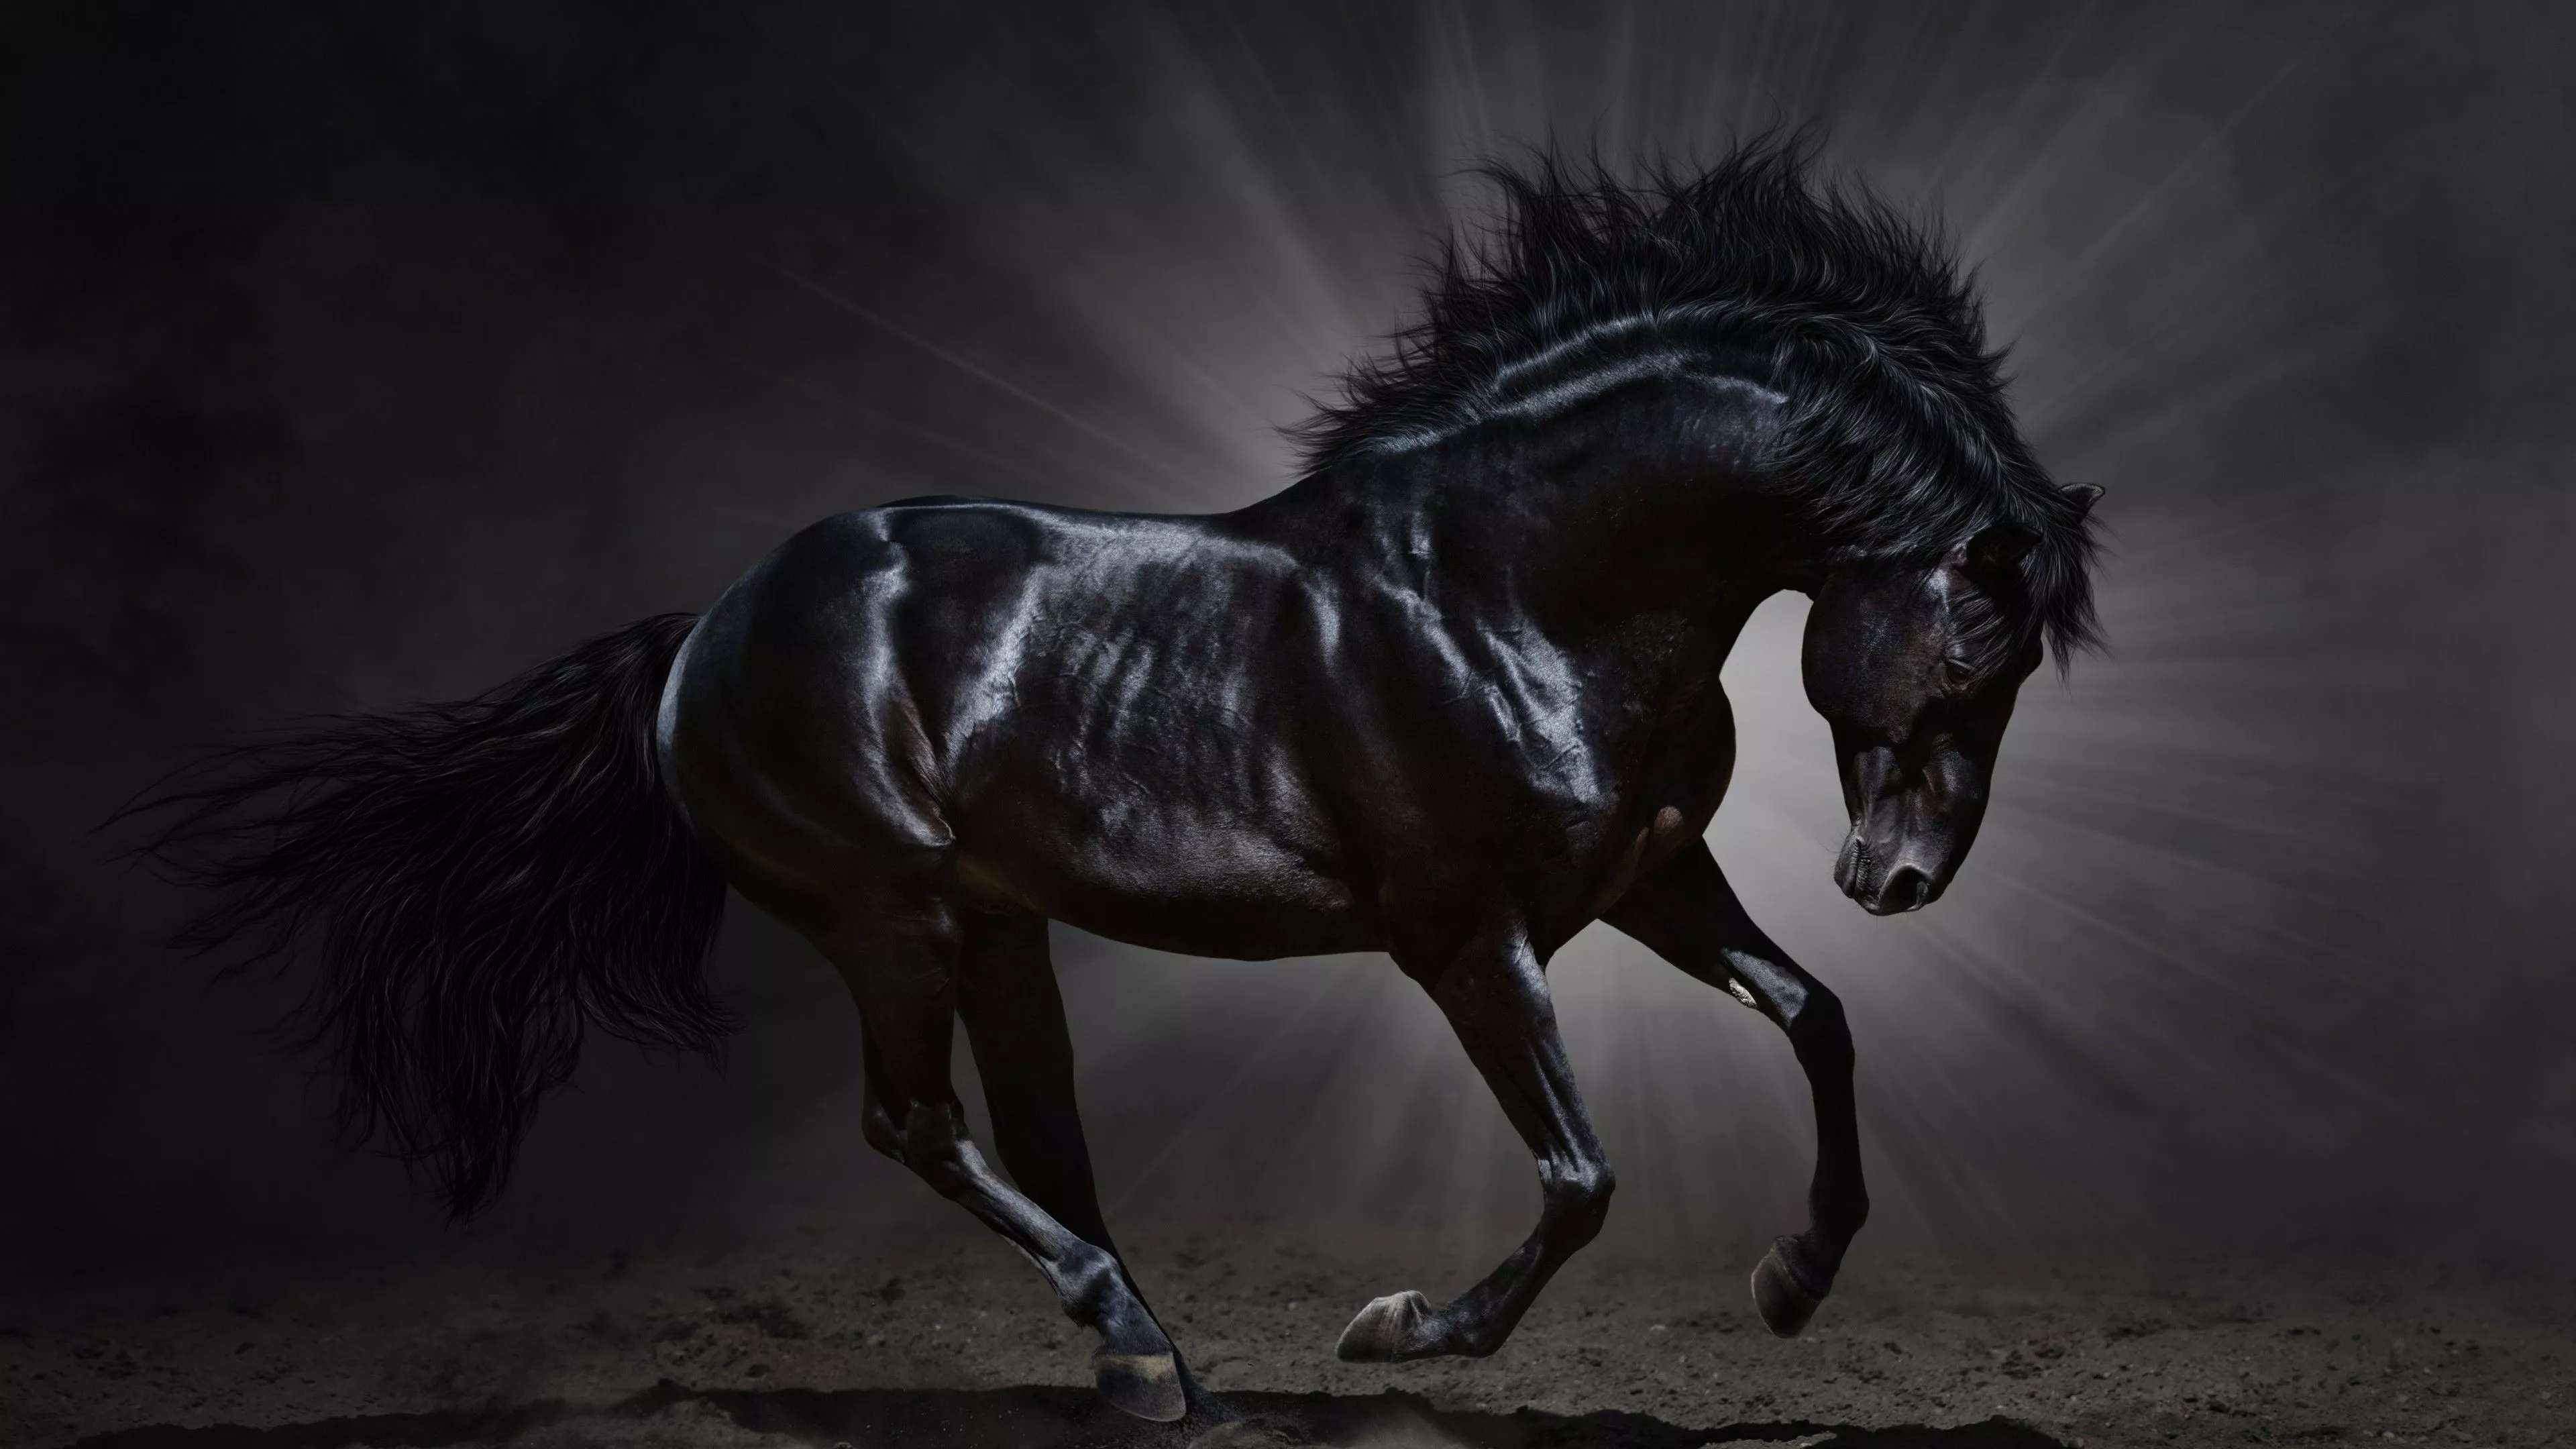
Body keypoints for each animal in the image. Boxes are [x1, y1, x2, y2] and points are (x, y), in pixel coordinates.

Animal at [144, 139, 2101, 1426]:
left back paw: (1144, 1355)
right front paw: (1396, 1331)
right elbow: (1579, 1175)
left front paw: (1792, 1281)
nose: (1897, 878)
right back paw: (1138, 1344)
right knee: (918, 1123)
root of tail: (704, 630)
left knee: (1038, 1134)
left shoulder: (1645, 879)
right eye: (1973, 645)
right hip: (887, 914)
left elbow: (1816, 1018)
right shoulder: (1468, 938)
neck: (1508, 591)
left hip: (995, 926)